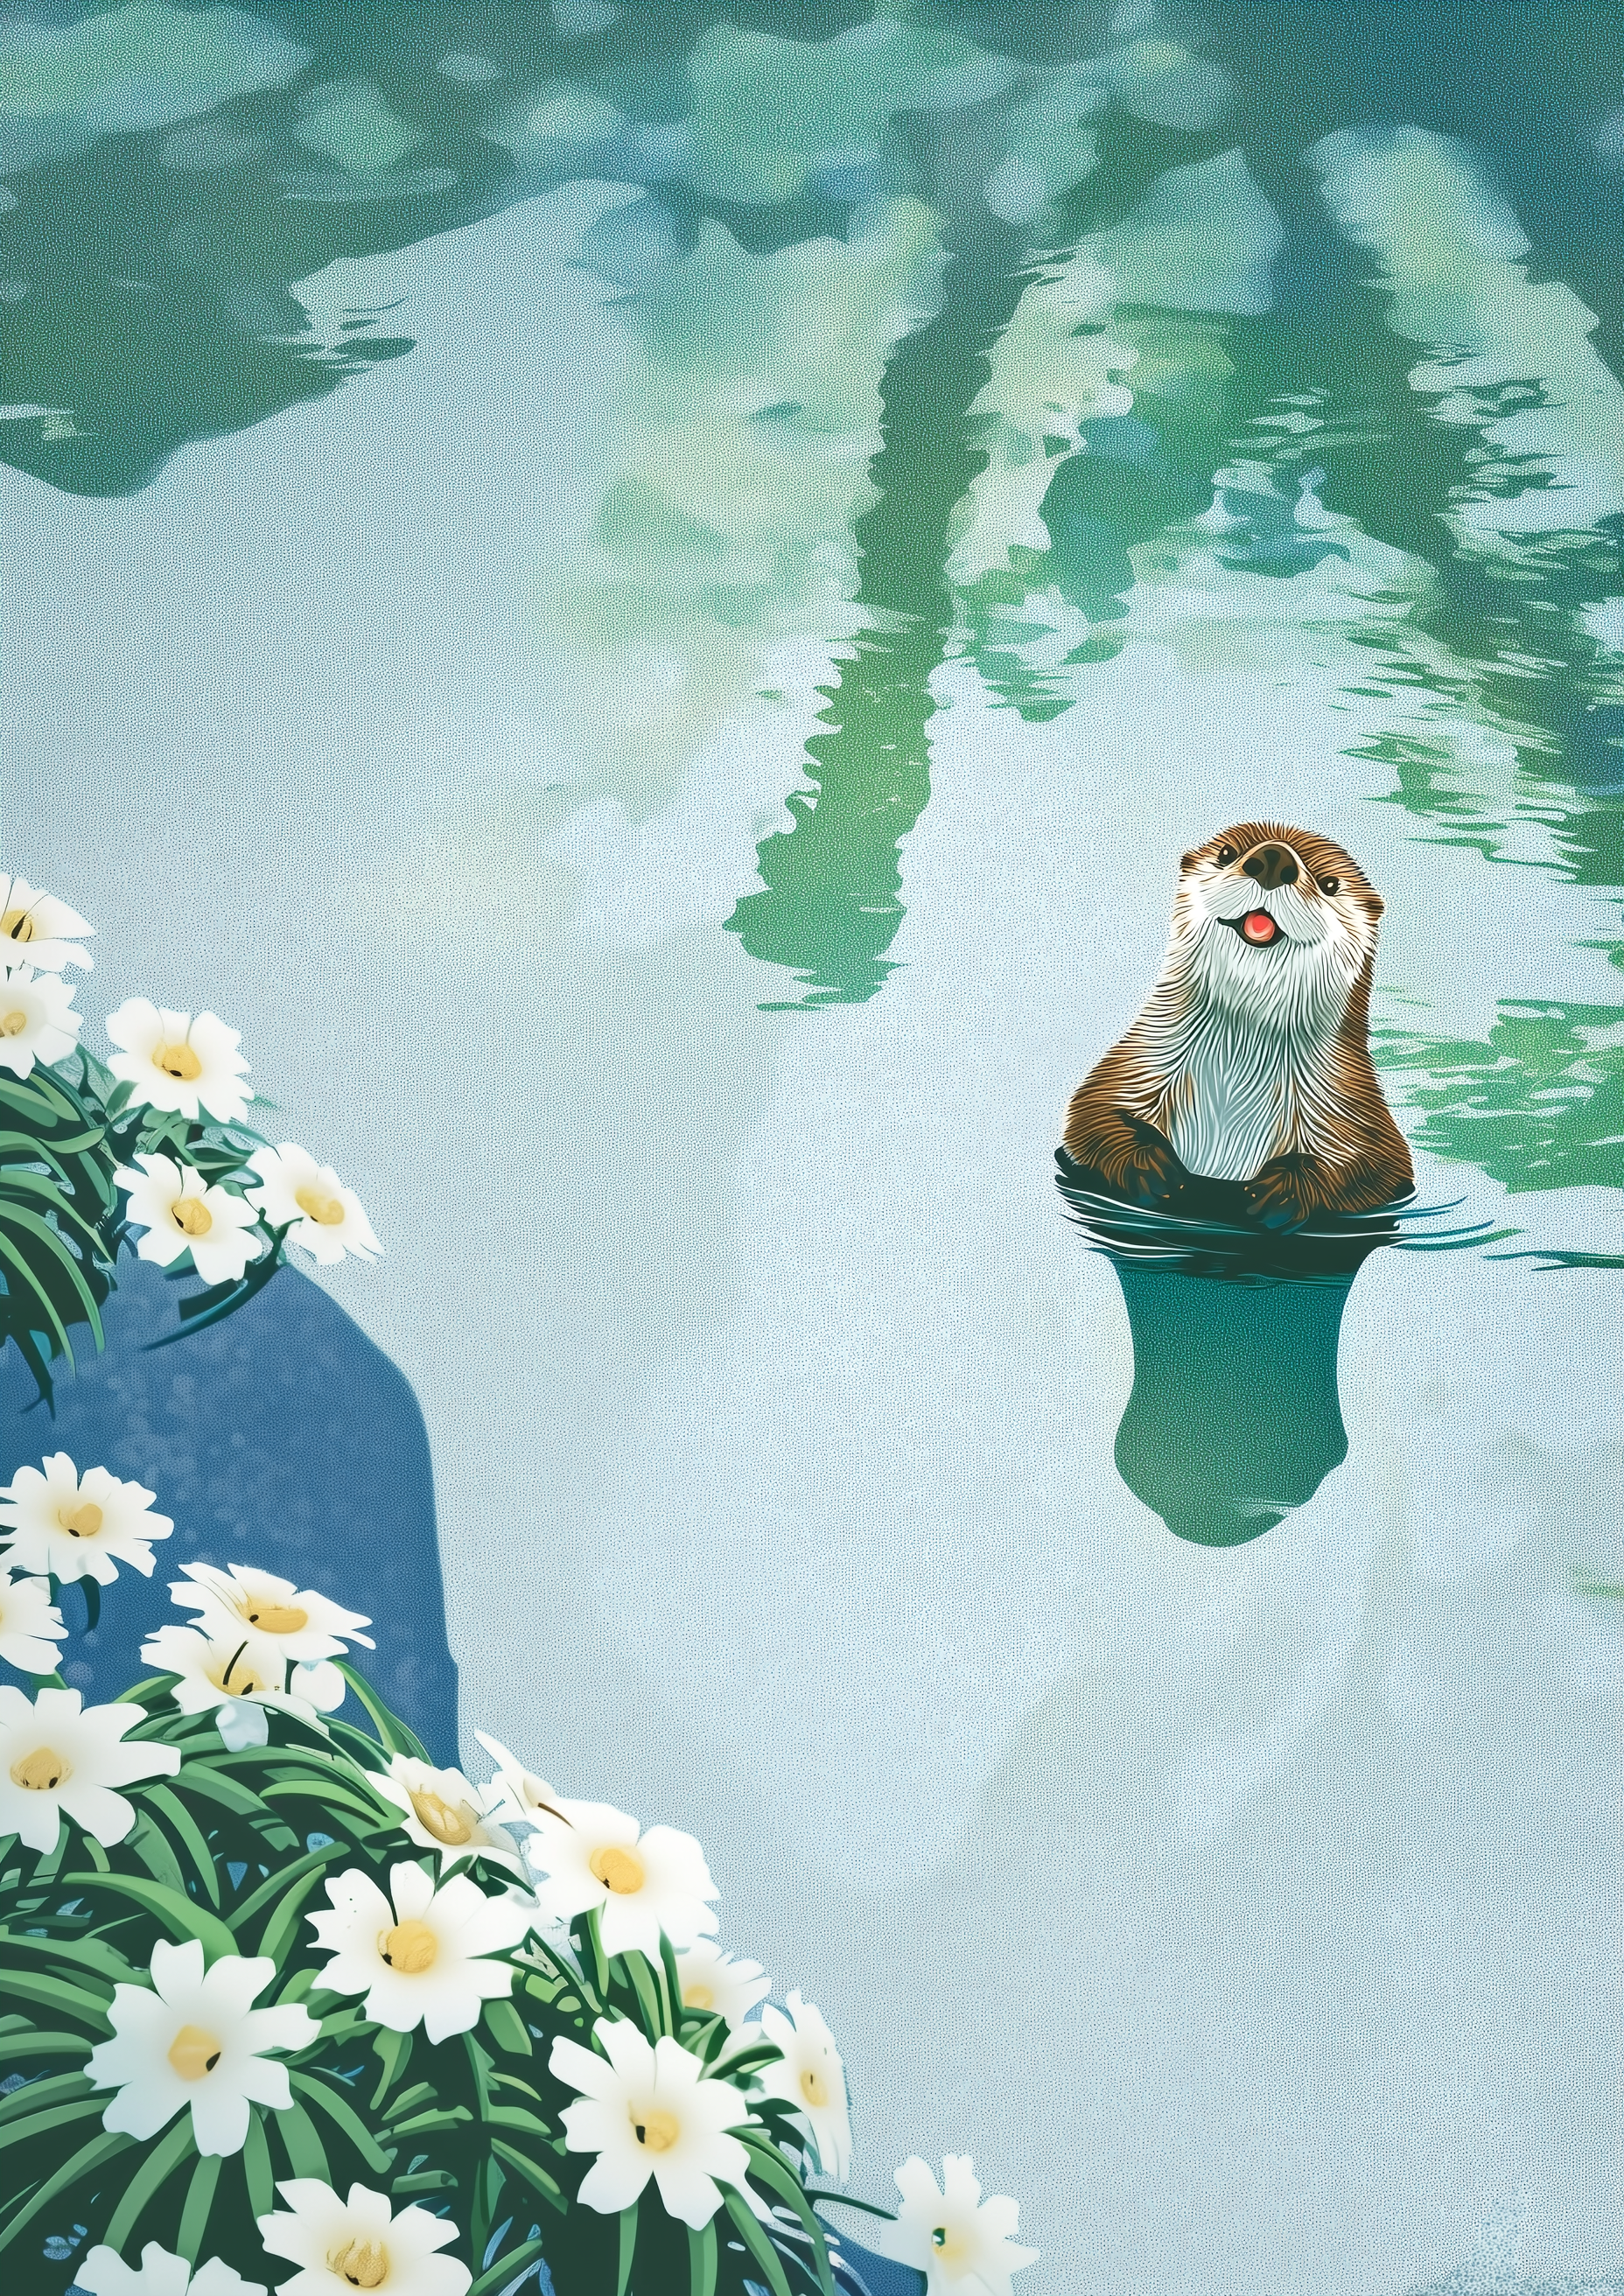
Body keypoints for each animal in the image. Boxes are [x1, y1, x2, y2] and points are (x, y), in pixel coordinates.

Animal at [1062, 821, 1413, 1229]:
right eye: (1227, 853)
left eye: (1329, 884)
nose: (1273, 860)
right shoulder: (1137, 1064)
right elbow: (1089, 1116)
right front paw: (1151, 1169)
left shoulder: (1351, 1111)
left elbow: (1368, 1168)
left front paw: (1282, 1191)